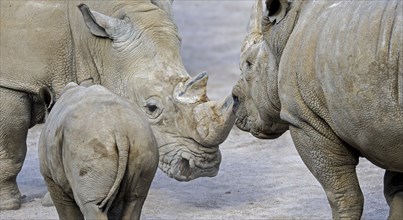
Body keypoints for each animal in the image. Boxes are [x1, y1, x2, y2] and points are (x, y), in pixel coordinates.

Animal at [39, 83, 159, 220]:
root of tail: (120, 129)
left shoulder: (50, 177)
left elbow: (66, 212)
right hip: (142, 138)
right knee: (136, 199)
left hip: (87, 144)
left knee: (91, 205)